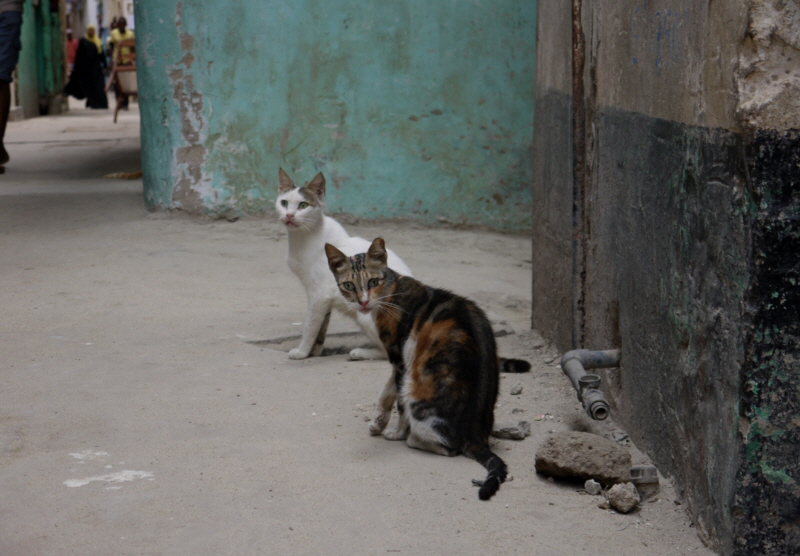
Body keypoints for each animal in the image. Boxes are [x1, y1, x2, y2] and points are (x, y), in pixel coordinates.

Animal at [276, 167, 412, 360]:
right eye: (284, 203)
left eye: (303, 205)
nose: (289, 215)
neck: (303, 237)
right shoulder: (324, 296)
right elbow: (322, 325)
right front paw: (315, 351)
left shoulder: (319, 293)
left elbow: (310, 325)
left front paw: (301, 352)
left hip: (365, 312)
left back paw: (361, 352)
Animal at [322, 238, 528, 500]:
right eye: (348, 285)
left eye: (373, 282)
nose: (363, 301)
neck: (390, 289)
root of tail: (477, 437)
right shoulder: (401, 362)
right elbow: (386, 392)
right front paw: (378, 423)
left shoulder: (400, 359)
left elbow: (399, 404)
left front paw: (396, 433)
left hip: (419, 395)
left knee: (448, 447)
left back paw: (412, 438)